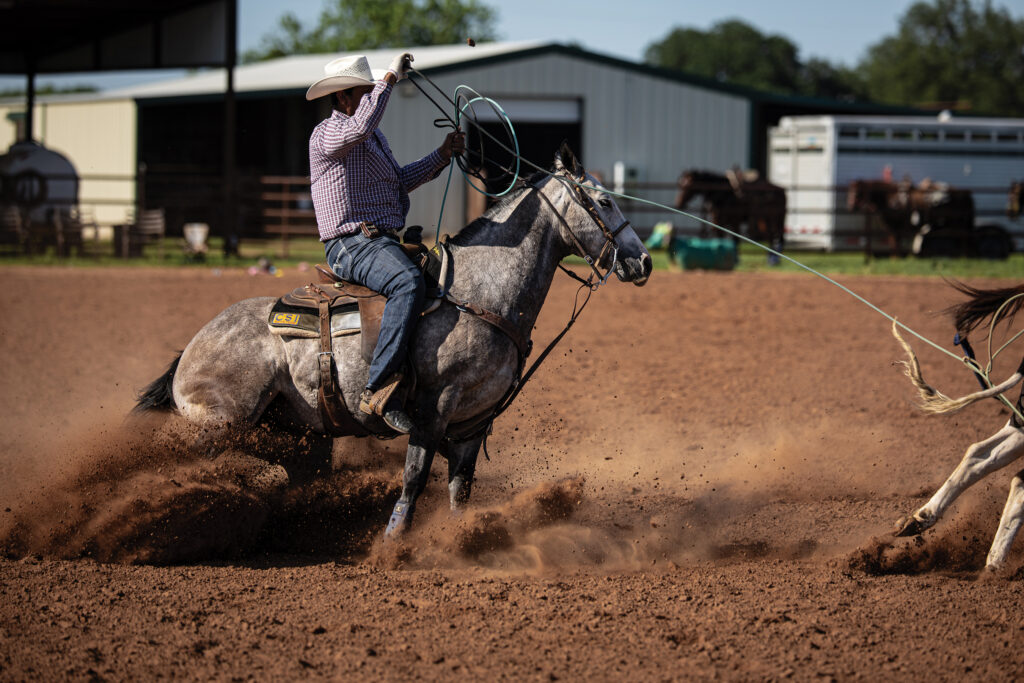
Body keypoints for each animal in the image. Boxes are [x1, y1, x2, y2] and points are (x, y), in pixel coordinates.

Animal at [134, 144, 652, 537]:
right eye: (605, 202)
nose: (643, 261)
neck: (481, 294)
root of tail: (192, 348)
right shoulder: (433, 408)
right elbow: (415, 478)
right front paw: (395, 541)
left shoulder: (473, 422)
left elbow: (460, 488)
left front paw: (461, 542)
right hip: (221, 423)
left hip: (298, 436)